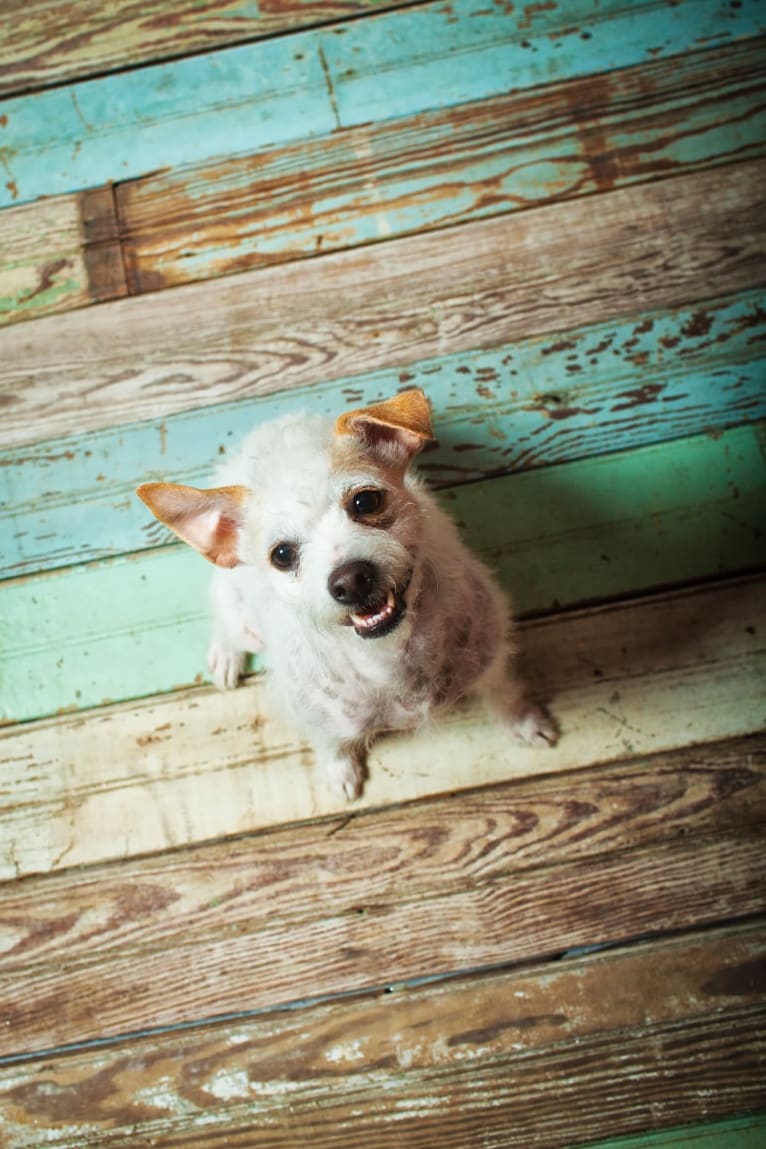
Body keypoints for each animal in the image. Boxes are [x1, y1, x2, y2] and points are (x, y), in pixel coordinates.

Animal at [137, 388, 558, 799]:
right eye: (282, 554)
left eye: (365, 501)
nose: (351, 580)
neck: (389, 658)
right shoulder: (315, 716)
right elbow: (332, 744)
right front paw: (339, 773)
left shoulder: (491, 657)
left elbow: (504, 692)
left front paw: (524, 721)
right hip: (240, 619)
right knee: (226, 624)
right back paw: (226, 655)